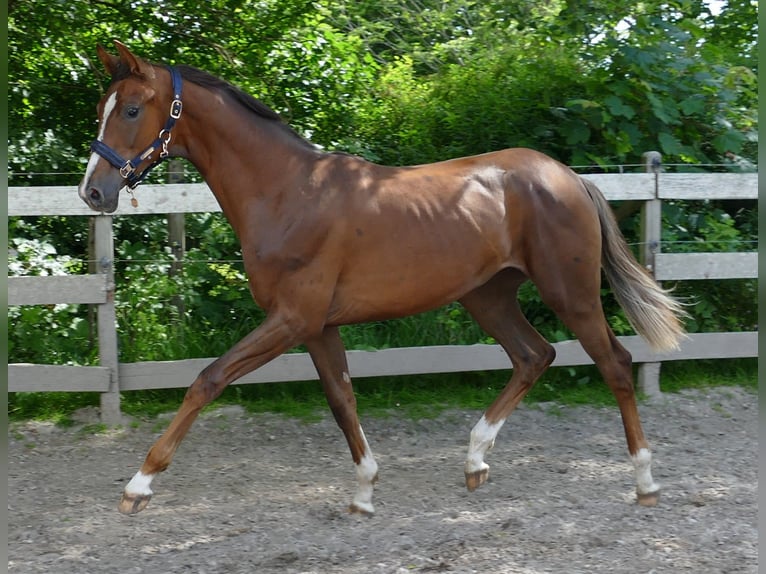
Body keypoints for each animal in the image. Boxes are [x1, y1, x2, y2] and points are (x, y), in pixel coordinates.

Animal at [79, 40, 688, 516]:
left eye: (130, 109)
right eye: (101, 108)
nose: (93, 191)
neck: (286, 192)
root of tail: (569, 177)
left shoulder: (291, 318)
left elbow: (208, 379)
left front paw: (139, 486)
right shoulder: (317, 326)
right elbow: (341, 398)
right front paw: (364, 492)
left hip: (570, 292)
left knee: (615, 364)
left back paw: (645, 481)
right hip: (487, 297)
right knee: (534, 356)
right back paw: (475, 461)